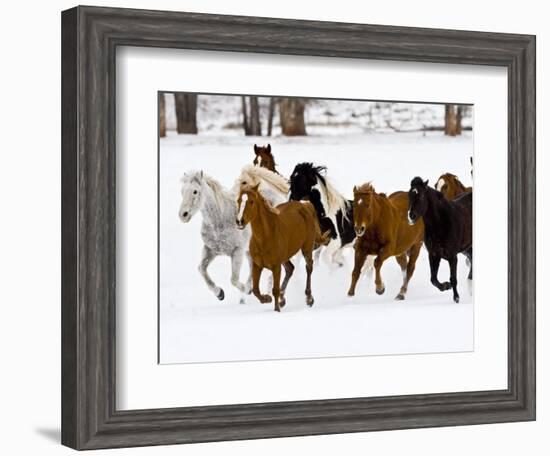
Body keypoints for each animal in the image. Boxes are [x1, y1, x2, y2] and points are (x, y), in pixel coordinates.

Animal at [180, 171, 251, 302]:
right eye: (182, 191)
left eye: (195, 191)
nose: (183, 215)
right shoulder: (210, 250)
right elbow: (201, 269)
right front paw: (219, 293)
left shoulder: (238, 251)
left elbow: (234, 279)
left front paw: (247, 290)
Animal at [236, 183, 330, 312]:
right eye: (238, 200)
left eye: (251, 201)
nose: (240, 221)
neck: (265, 237)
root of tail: (305, 205)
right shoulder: (257, 265)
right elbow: (255, 290)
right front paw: (267, 299)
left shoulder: (276, 266)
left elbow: (274, 289)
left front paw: (276, 309)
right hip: (286, 256)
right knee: (290, 269)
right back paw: (283, 299)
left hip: (307, 248)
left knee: (309, 267)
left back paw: (309, 299)